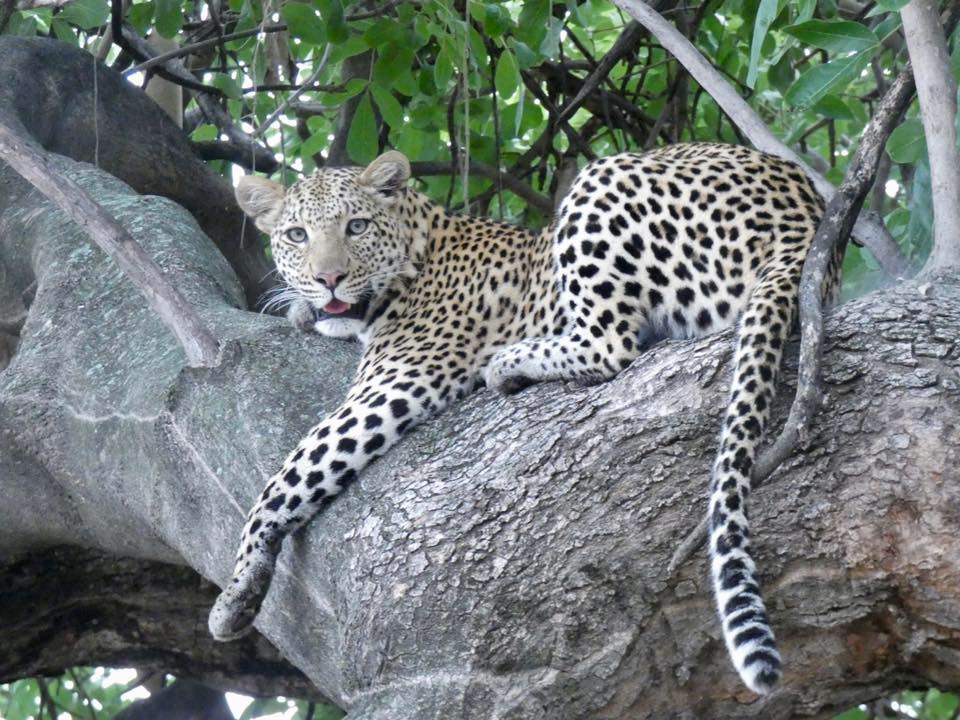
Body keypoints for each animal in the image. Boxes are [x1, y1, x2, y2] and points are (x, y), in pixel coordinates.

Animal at [208, 143, 840, 696]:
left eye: (357, 227)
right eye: (297, 235)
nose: (329, 279)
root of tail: (805, 217)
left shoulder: (395, 382)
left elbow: (287, 476)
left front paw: (235, 594)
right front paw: (298, 309)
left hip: (601, 184)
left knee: (611, 346)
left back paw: (510, 363)